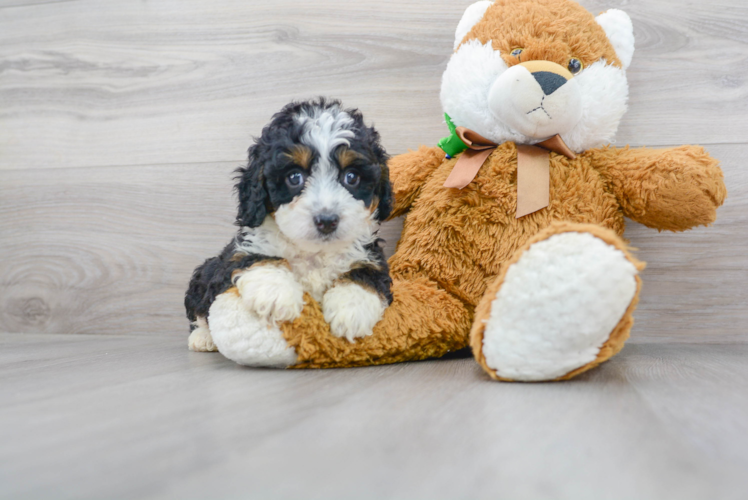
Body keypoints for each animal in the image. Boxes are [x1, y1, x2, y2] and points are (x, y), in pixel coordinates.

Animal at [185, 98, 394, 364]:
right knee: (200, 312)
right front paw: (277, 295)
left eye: (351, 177)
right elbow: (260, 259)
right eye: (295, 177)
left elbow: (365, 274)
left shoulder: (370, 256)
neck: (313, 252)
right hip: (203, 274)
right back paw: (203, 338)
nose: (327, 220)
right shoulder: (239, 253)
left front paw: (351, 310)